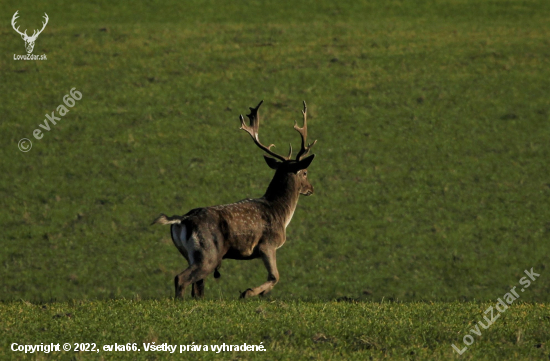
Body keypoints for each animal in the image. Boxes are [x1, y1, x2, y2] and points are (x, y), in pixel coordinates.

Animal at [152, 99, 320, 298]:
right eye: (305, 172)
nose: (311, 189)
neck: (280, 212)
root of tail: (182, 220)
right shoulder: (267, 244)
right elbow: (275, 276)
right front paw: (248, 292)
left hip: (190, 254)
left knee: (197, 287)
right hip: (208, 252)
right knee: (181, 278)